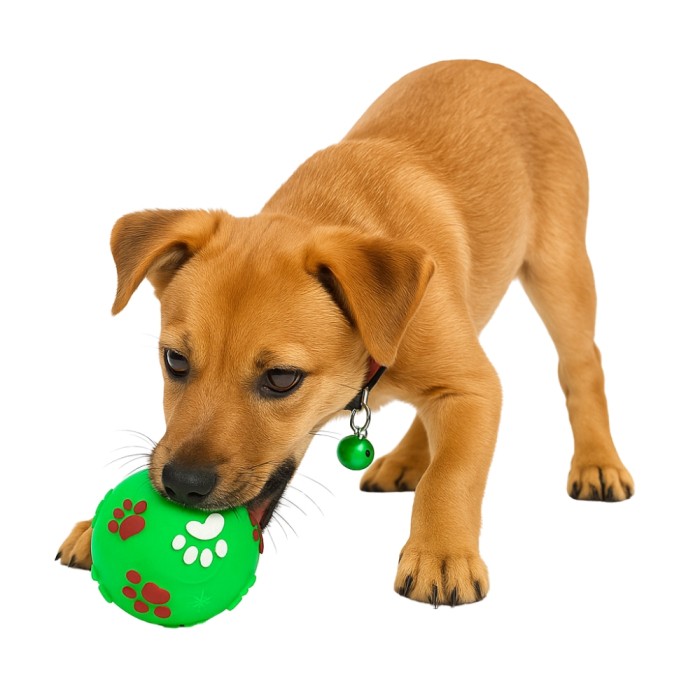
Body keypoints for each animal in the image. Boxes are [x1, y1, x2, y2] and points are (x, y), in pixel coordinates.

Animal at [58, 60, 634, 606]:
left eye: (282, 379)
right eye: (174, 361)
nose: (180, 487)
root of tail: (499, 68)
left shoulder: (476, 388)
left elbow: (451, 475)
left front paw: (441, 555)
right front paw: (94, 527)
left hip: (559, 270)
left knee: (582, 364)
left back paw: (597, 462)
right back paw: (405, 460)